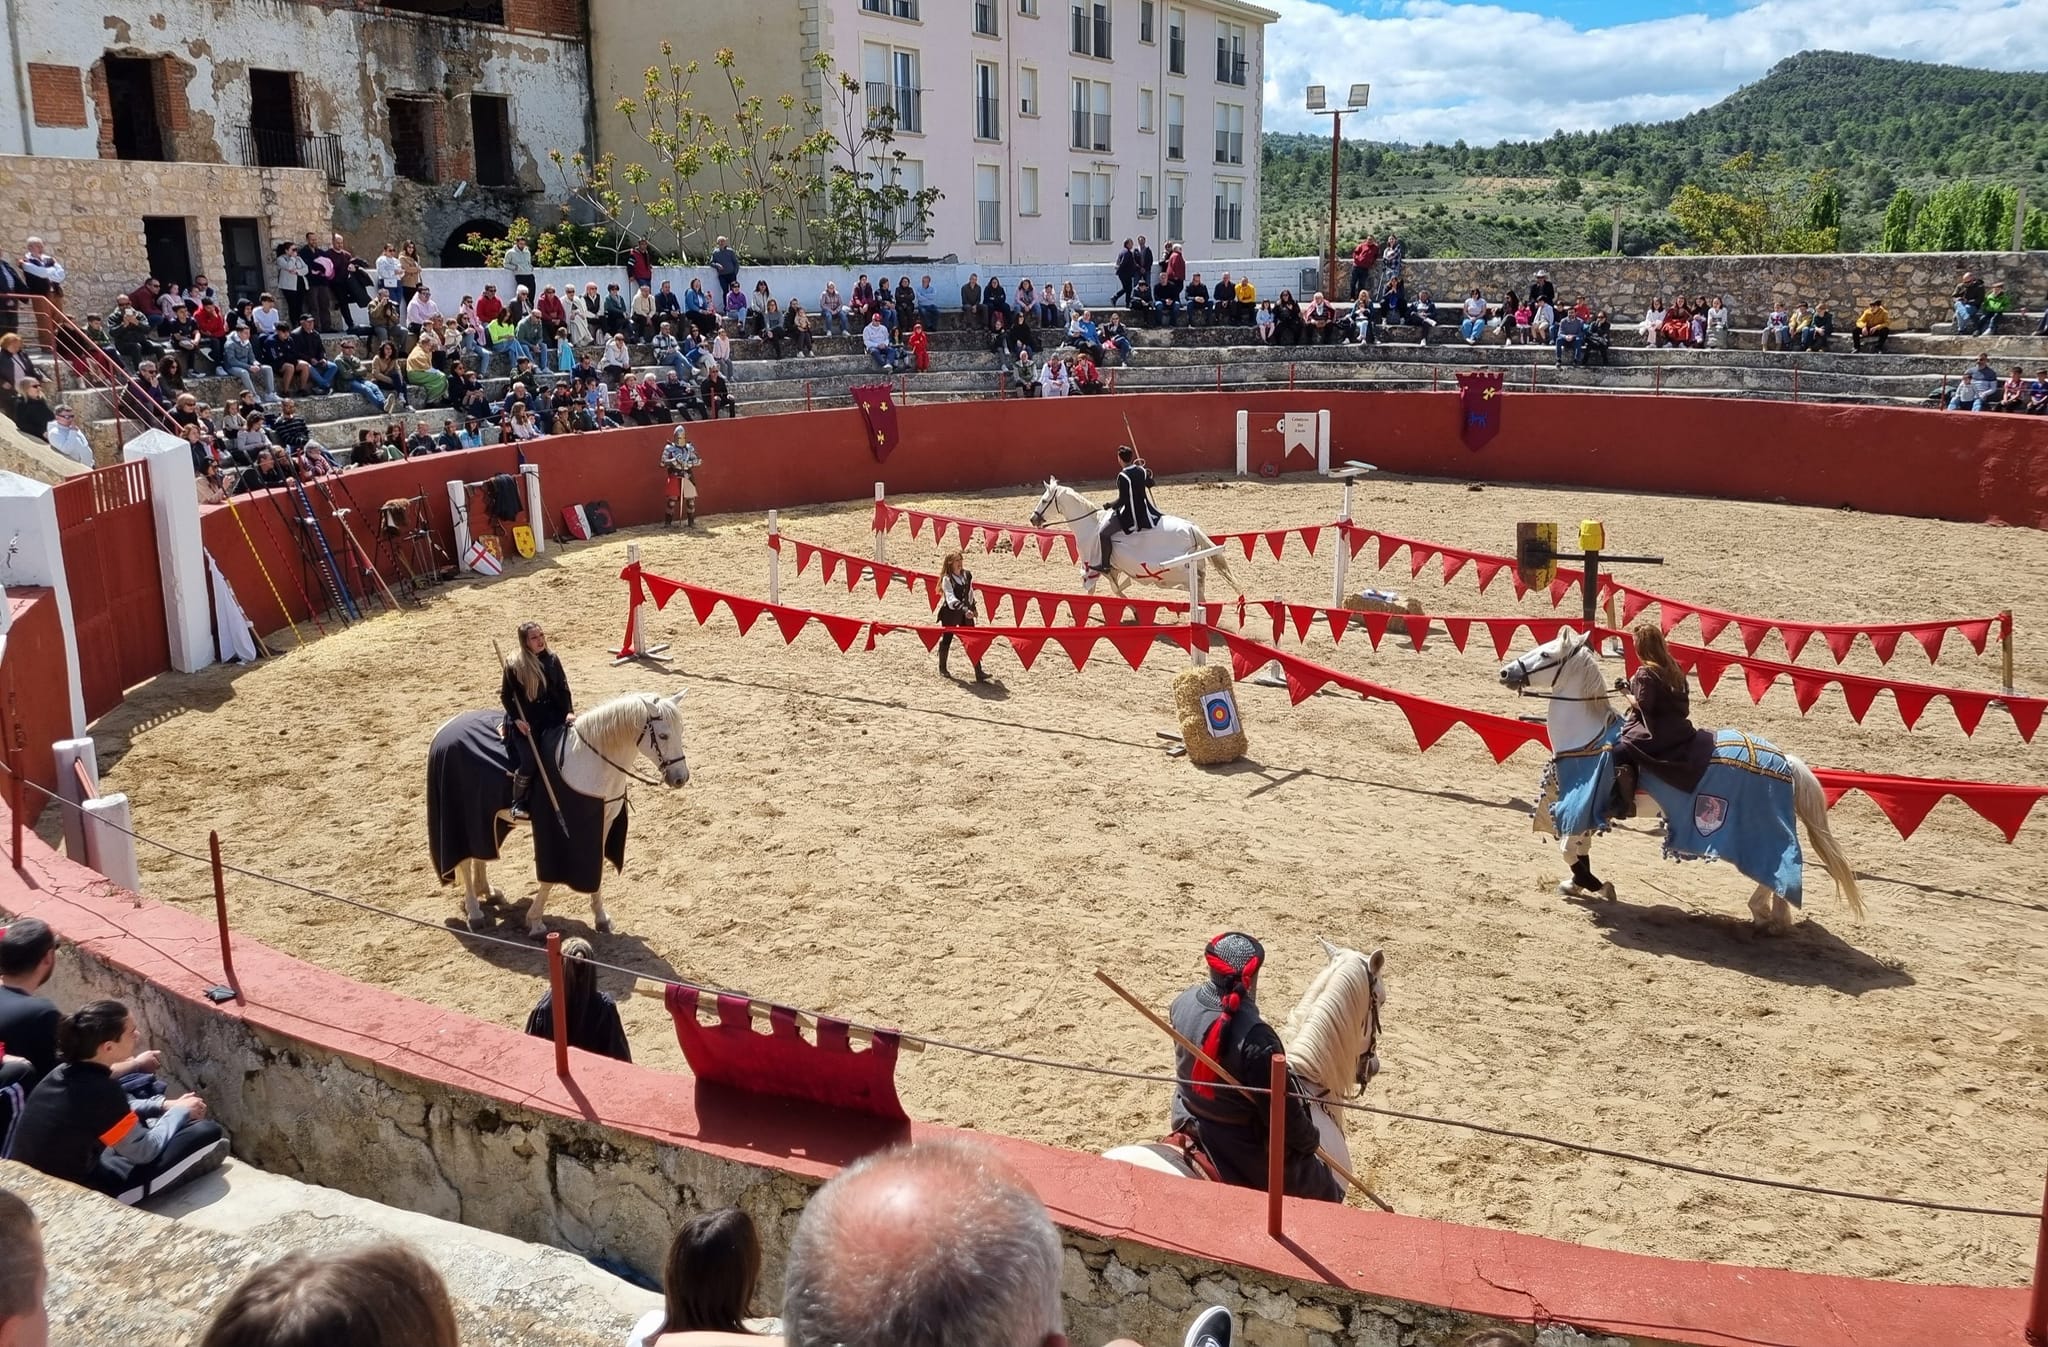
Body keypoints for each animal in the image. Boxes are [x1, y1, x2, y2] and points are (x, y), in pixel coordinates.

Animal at [425, 691, 696, 933]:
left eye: (681, 732)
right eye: (663, 735)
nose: (680, 778)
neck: (591, 761)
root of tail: (445, 729)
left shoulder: (603, 823)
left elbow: (596, 867)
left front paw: (601, 918)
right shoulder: (561, 832)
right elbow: (549, 878)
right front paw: (535, 921)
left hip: (483, 814)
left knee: (479, 851)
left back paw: (488, 892)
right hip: (459, 812)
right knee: (464, 860)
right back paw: (474, 913)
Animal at [1032, 474, 1236, 593]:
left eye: (1044, 501)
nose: (1033, 519)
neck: (1090, 525)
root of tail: (1191, 528)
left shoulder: (1093, 567)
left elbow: (1100, 590)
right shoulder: (1113, 569)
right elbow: (1117, 588)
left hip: (1182, 567)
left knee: (1196, 582)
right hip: (1196, 562)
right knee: (1200, 582)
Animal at [1507, 622, 1859, 929]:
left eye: (1545, 654)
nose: (1506, 672)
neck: (1588, 736)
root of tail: (1785, 760)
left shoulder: (1582, 805)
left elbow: (1568, 849)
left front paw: (1595, 885)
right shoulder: (1586, 812)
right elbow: (1579, 849)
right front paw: (1576, 883)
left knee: (1773, 869)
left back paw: (1765, 915)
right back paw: (1773, 917)